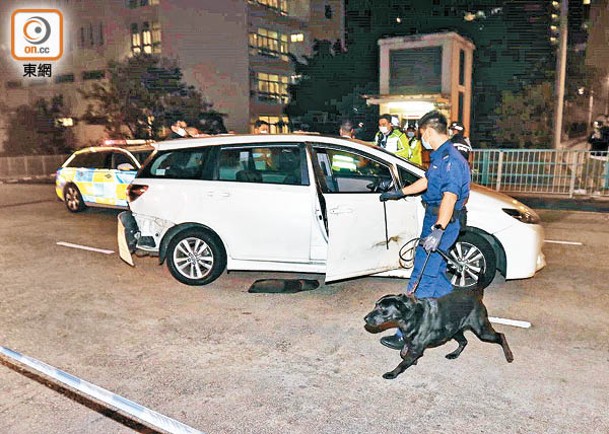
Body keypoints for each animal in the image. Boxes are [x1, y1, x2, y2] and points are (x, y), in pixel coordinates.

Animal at [366, 292, 512, 380]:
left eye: (382, 309)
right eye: (375, 305)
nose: (365, 318)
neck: (410, 317)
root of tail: (477, 296)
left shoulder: (416, 347)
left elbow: (402, 362)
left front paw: (393, 373)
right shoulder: (410, 342)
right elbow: (403, 353)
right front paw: (413, 361)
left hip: (482, 330)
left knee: (501, 335)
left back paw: (509, 355)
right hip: (455, 331)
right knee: (464, 342)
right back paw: (454, 354)